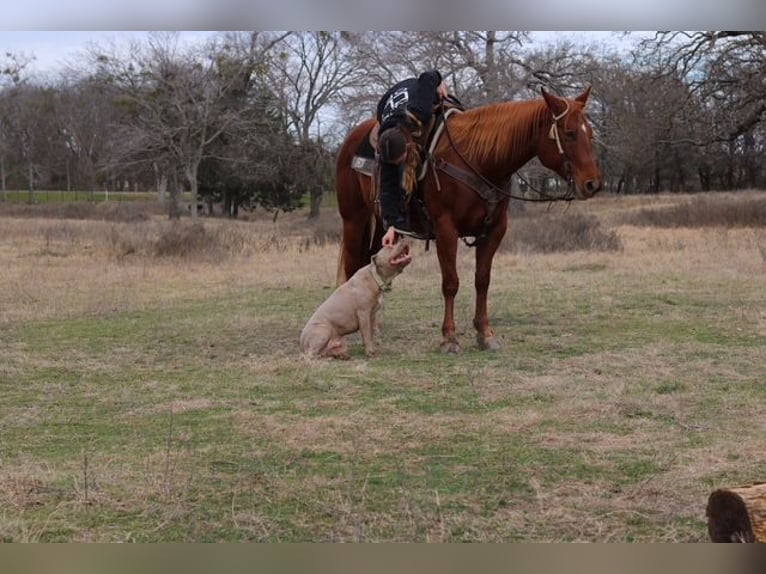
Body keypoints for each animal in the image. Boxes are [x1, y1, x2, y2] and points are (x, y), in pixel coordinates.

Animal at [335, 87, 602, 354]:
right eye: (569, 133)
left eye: (590, 134)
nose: (593, 184)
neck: (479, 160)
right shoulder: (446, 230)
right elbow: (451, 283)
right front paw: (449, 338)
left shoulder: (494, 231)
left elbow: (482, 280)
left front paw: (485, 334)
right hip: (354, 220)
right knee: (352, 266)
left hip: (382, 224)